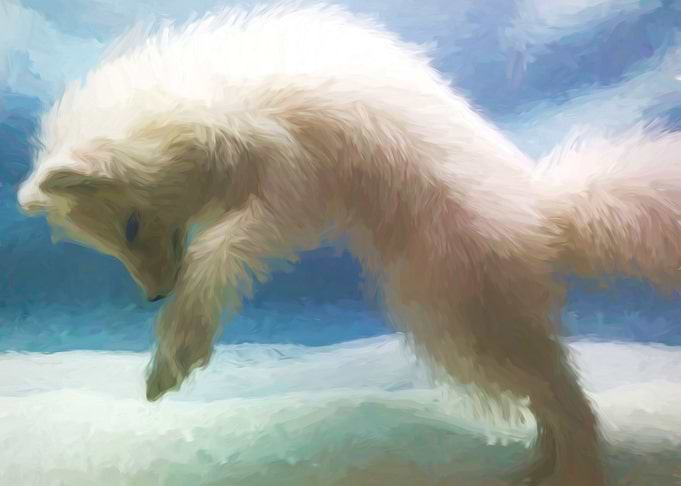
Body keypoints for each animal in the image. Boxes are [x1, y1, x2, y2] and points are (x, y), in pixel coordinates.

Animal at [16, 4, 681, 485]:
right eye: (112, 243)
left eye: (130, 225)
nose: (153, 296)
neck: (206, 104)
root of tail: (542, 214)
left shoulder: (292, 181)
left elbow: (220, 252)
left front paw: (174, 355)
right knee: (553, 394)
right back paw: (537, 468)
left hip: (461, 321)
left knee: (566, 396)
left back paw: (575, 471)